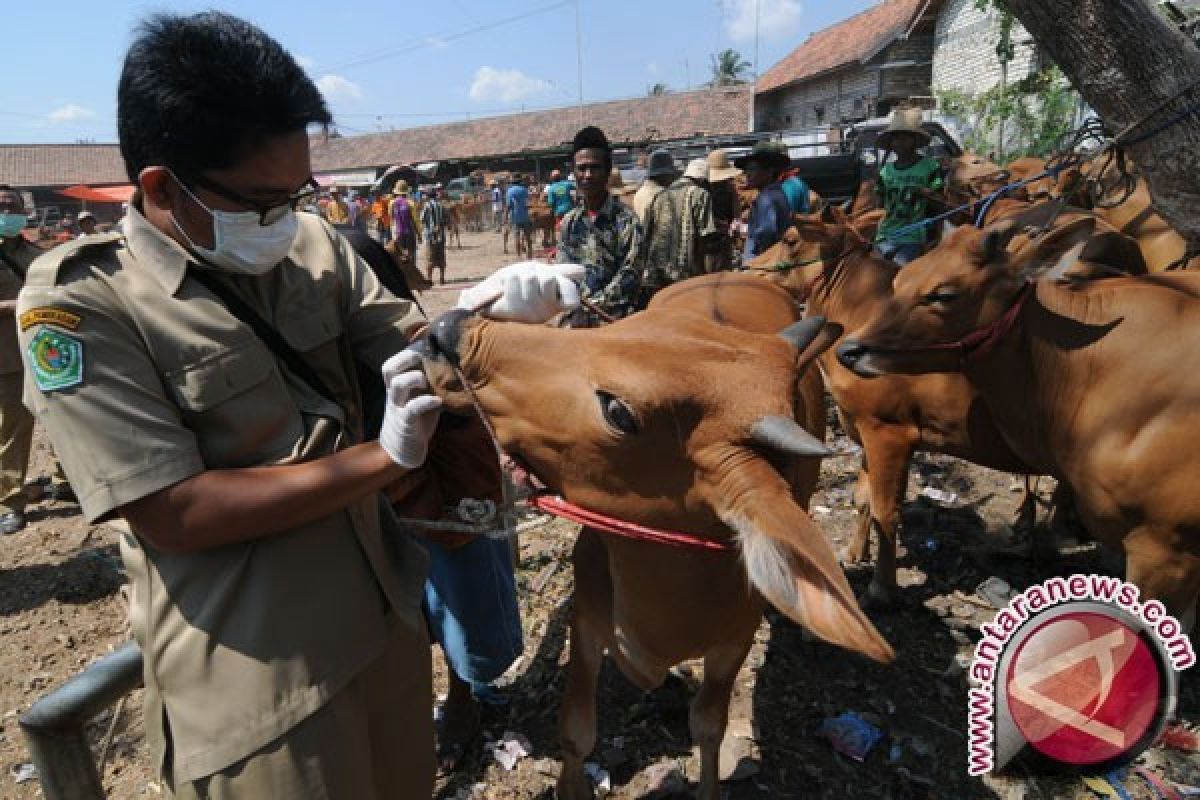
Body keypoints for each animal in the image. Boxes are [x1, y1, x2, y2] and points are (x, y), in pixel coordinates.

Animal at [415, 277, 892, 800]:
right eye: (624, 326)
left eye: (618, 411)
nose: (446, 330)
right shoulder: (587, 620)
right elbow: (576, 729)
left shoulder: (733, 642)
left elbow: (708, 726)